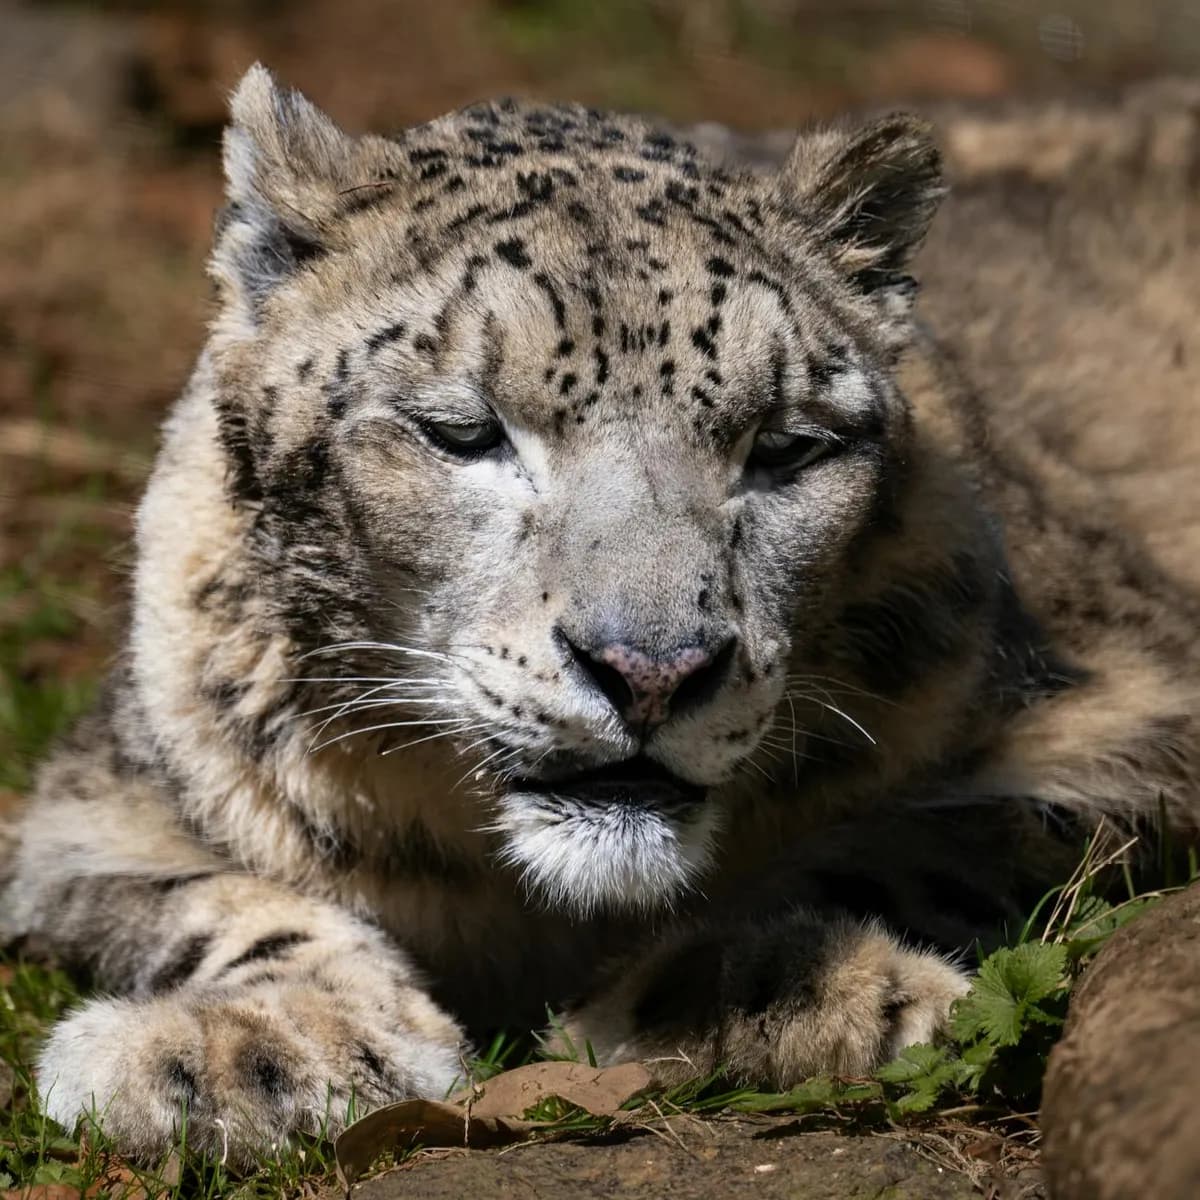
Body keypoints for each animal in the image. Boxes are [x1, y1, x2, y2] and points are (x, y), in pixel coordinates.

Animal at [2, 65, 1198, 1163]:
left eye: (785, 445)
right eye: (463, 431)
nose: (652, 670)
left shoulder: (1129, 718)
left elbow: (928, 839)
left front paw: (750, 993)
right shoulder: (96, 809)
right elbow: (210, 899)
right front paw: (245, 1052)